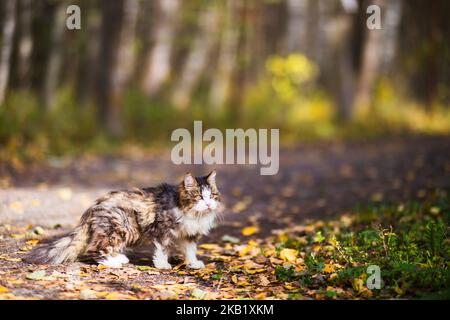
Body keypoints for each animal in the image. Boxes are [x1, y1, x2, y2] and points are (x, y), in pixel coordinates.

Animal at [25, 171, 221, 268]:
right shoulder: (162, 231)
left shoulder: (189, 235)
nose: (208, 204)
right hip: (121, 227)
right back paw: (114, 263)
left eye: (212, 195)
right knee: (95, 249)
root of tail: (92, 207)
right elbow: (163, 250)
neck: (193, 214)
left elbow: (190, 250)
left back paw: (118, 258)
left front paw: (194, 263)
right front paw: (163, 265)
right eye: (199, 197)